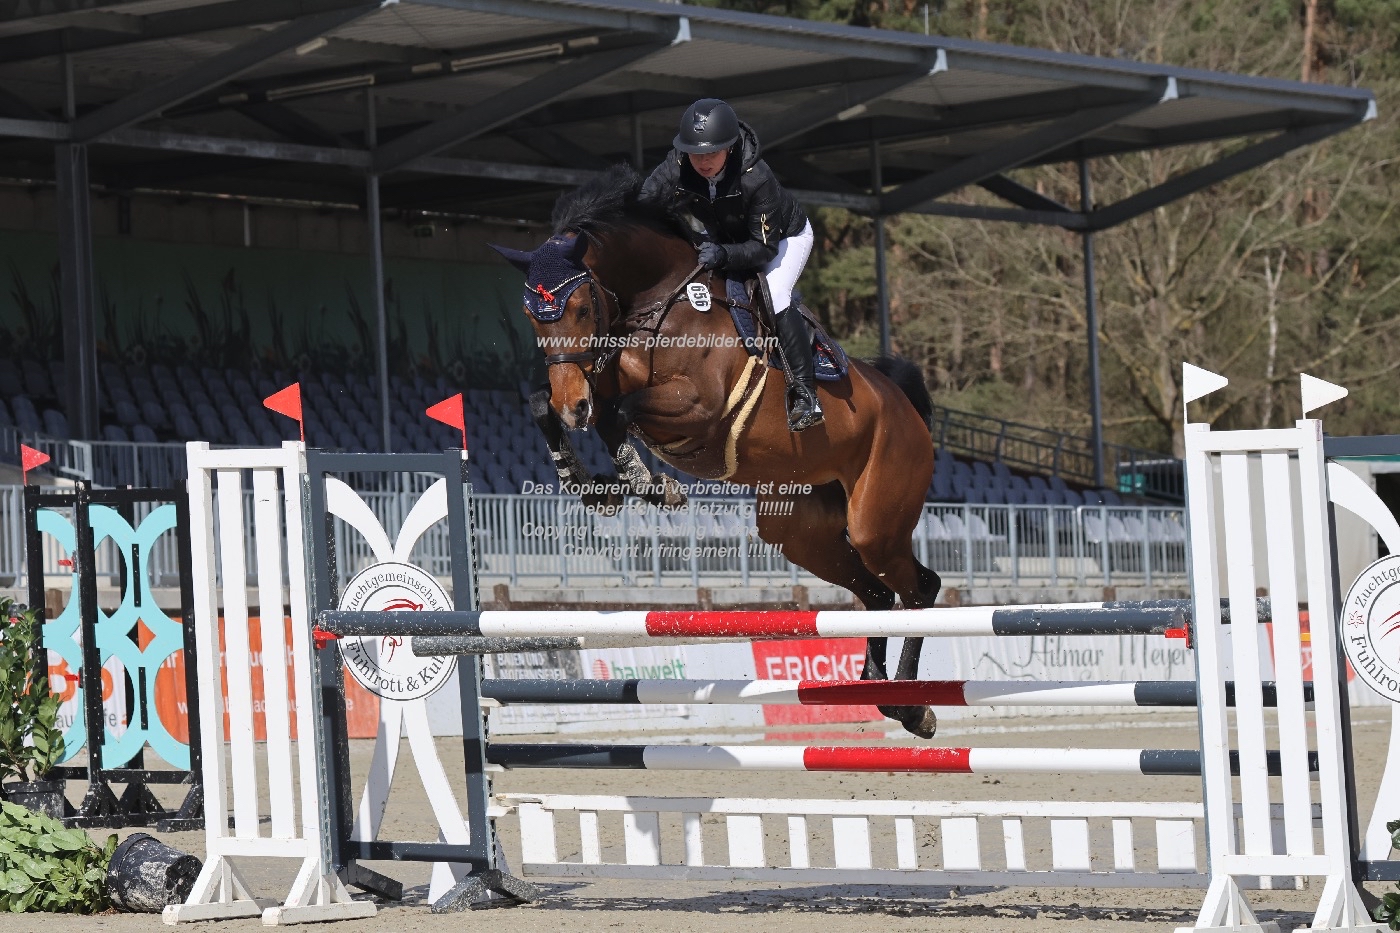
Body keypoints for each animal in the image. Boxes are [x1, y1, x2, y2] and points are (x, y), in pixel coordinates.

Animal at [490, 165, 940, 734]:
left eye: (580, 306)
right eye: (533, 316)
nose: (575, 406)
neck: (657, 301)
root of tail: (903, 404)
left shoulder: (697, 407)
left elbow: (618, 416)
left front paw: (648, 484)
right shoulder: (595, 382)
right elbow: (540, 405)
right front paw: (592, 485)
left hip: (875, 521)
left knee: (919, 588)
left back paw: (913, 706)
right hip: (800, 532)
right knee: (879, 594)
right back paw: (879, 689)